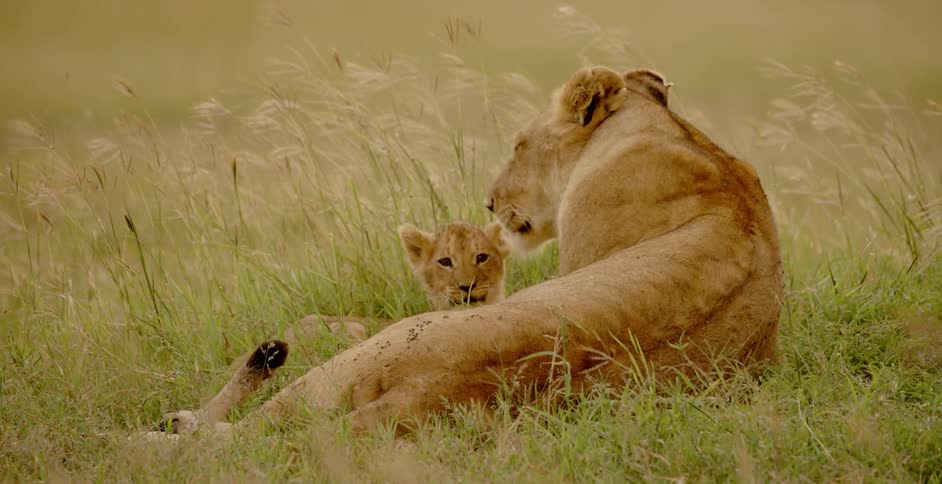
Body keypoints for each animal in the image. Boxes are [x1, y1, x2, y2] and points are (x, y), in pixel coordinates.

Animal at [154, 66, 783, 437]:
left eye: (519, 144)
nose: (489, 202)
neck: (689, 145)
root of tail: (436, 391)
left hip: (352, 366)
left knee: (225, 441)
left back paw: (179, 422)